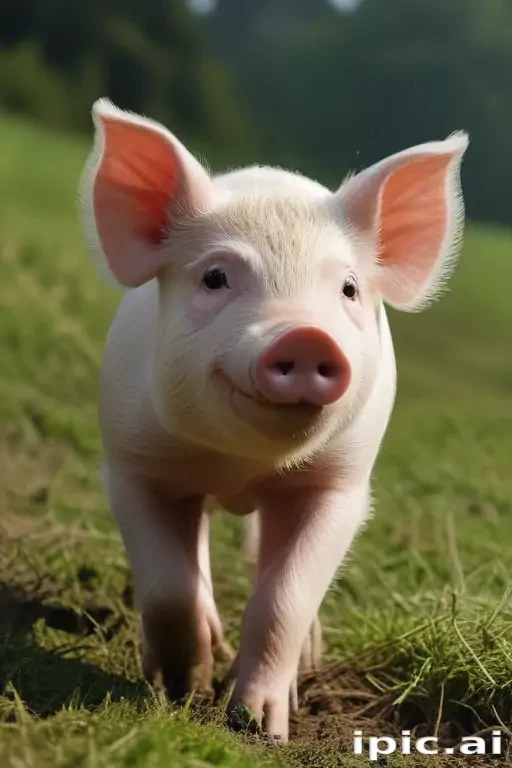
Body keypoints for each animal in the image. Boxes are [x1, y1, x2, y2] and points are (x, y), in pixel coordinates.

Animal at [79, 98, 468, 742]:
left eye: (349, 288)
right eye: (214, 277)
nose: (307, 336)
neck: (241, 467)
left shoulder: (339, 486)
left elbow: (284, 598)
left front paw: (259, 726)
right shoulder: (133, 464)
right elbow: (168, 587)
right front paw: (180, 690)